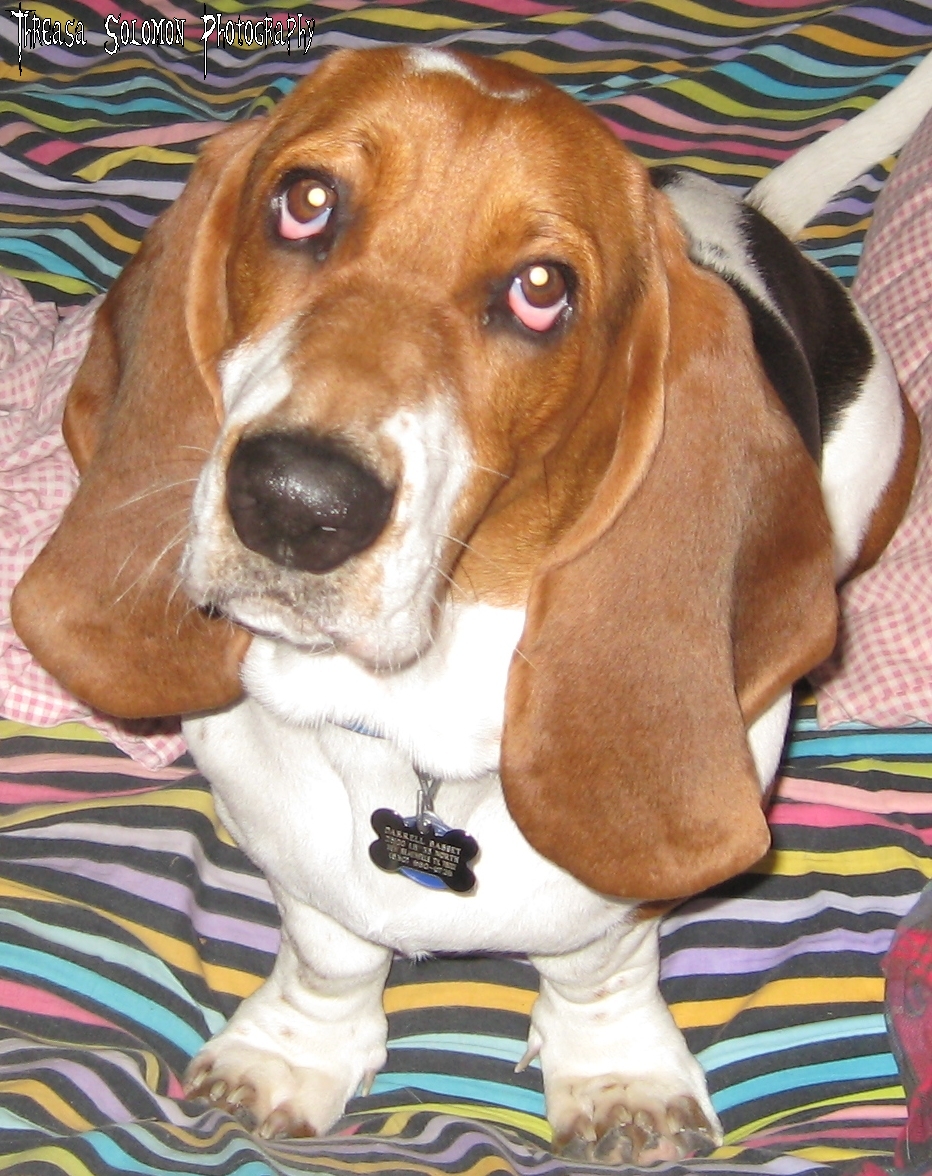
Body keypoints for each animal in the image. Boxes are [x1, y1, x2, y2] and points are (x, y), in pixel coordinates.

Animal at [10, 45, 926, 1166]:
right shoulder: (285, 844)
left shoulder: (620, 900)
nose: (295, 501)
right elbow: (328, 952)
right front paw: (292, 1055)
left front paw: (618, 1078)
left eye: (541, 289)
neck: (409, 725)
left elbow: (596, 970)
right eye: (304, 202)